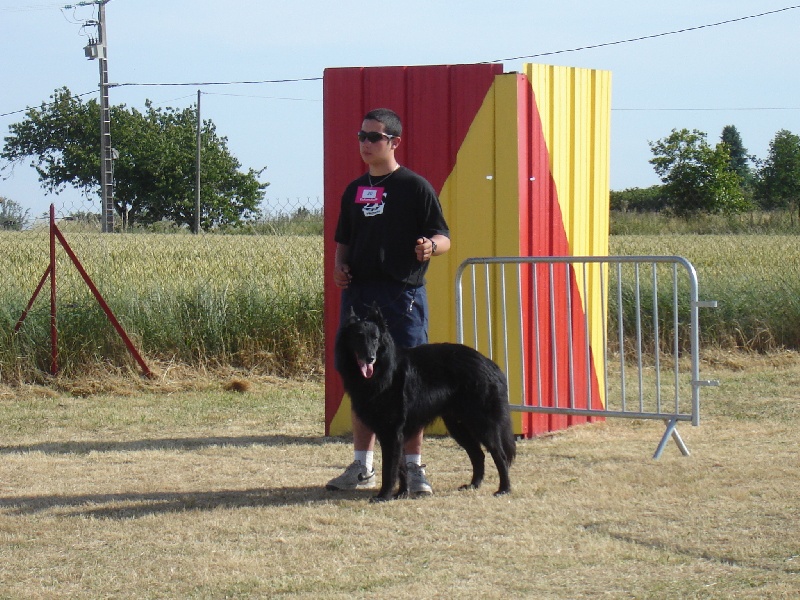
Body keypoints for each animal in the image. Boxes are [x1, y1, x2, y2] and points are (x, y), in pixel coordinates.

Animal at [332, 304, 516, 502]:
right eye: (358, 336)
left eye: (375, 338)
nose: (370, 358)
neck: (384, 372)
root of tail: (491, 365)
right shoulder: (394, 435)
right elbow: (400, 467)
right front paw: (401, 493)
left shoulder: (392, 432)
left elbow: (389, 469)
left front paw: (384, 495)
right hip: (458, 426)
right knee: (478, 454)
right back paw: (474, 484)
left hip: (482, 424)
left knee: (500, 455)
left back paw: (504, 489)